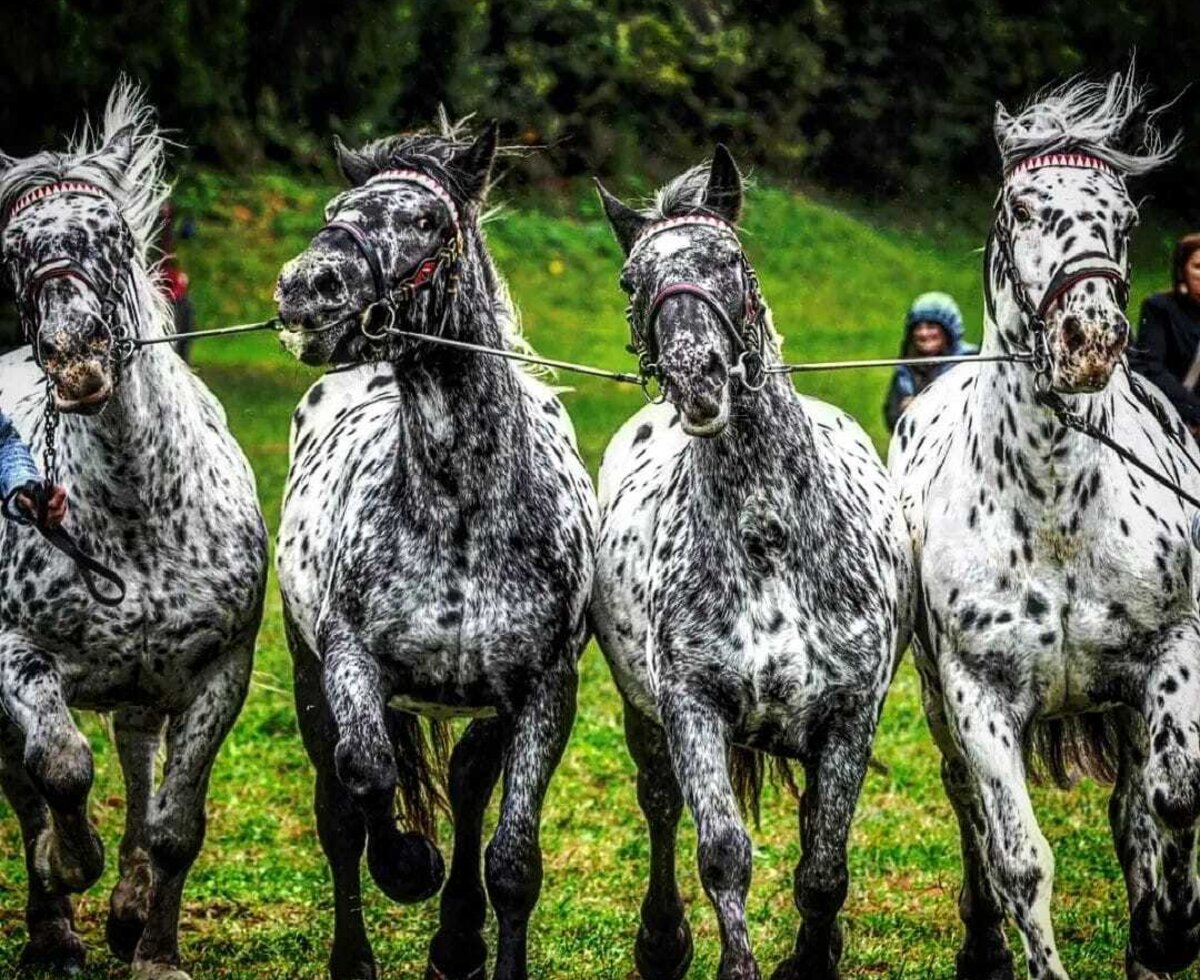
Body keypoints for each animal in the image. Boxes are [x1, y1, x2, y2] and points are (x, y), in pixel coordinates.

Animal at [0, 82, 267, 979]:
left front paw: (154, 949)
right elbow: (58, 768)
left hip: (148, 688)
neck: (138, 515)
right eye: (12, 252)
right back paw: (53, 926)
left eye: (111, 235)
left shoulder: (220, 672)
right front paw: (61, 865)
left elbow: (174, 824)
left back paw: (123, 907)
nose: (76, 357)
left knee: (137, 755)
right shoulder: (16, 655)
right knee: (25, 779)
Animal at [274, 118, 596, 980]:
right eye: (335, 209)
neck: (460, 514)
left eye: (425, 220)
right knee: (339, 814)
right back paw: (359, 953)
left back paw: (457, 942)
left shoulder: (542, 691)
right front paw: (409, 866)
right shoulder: (349, 659)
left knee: (468, 784)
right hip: (308, 670)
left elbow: (513, 860)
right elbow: (366, 773)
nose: (305, 289)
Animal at [590, 147, 914, 980]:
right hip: (645, 717)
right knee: (661, 805)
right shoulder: (692, 708)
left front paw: (815, 958)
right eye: (630, 280)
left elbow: (823, 867)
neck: (770, 541)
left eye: (731, 260)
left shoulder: (848, 718)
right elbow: (723, 855)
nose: (696, 375)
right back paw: (662, 942)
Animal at [888, 70, 1200, 980]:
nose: (1088, 337)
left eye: (1124, 218)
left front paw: (1168, 931)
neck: (1054, 506)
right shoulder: (978, 696)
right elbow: (1019, 859)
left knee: (1134, 811)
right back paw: (983, 945)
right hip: (939, 704)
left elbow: (1172, 797)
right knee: (967, 808)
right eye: (1022, 207)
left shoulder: (1168, 654)